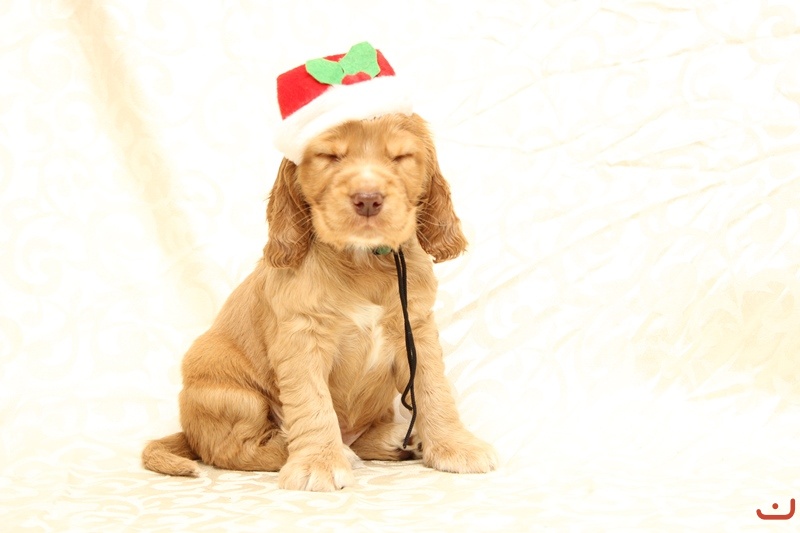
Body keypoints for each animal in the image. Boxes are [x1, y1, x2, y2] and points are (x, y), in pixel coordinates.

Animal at [142, 113, 497, 491]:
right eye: (330, 156)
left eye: (400, 157)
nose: (368, 199)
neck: (364, 262)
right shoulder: (301, 338)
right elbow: (312, 403)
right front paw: (319, 464)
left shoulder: (415, 330)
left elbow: (433, 389)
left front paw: (455, 446)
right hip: (232, 396)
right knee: (231, 450)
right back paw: (327, 450)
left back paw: (398, 440)